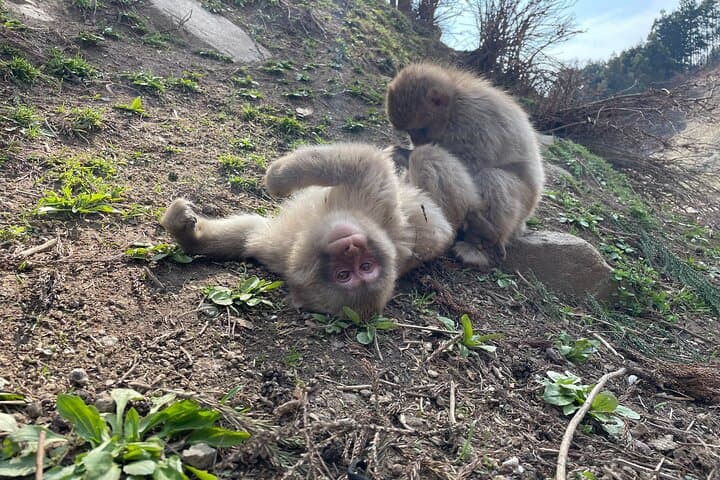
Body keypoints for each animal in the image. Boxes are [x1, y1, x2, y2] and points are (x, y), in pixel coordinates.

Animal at [161, 143, 481, 318]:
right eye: (350, 271)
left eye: (360, 269)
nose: (351, 246)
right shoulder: (280, 249)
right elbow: (251, 235)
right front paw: (189, 235)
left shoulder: (376, 208)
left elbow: (363, 162)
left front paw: (276, 177)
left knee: (428, 159)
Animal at [386, 63, 545, 268]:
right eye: (409, 132)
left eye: (419, 129)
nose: (416, 140)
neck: (454, 104)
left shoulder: (473, 121)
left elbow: (471, 164)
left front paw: (403, 154)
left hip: (525, 204)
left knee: (491, 177)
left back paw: (481, 240)